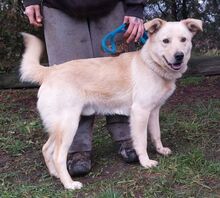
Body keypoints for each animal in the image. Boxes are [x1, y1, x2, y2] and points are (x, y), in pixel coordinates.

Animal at [20, 19, 203, 190]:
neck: (151, 64)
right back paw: (69, 184)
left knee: (46, 149)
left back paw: (55, 174)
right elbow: (141, 141)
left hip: (59, 127)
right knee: (58, 156)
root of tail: (50, 71)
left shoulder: (153, 111)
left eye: (183, 39)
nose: (179, 55)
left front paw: (160, 150)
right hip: (69, 126)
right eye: (165, 41)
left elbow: (156, 134)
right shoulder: (140, 112)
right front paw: (145, 162)